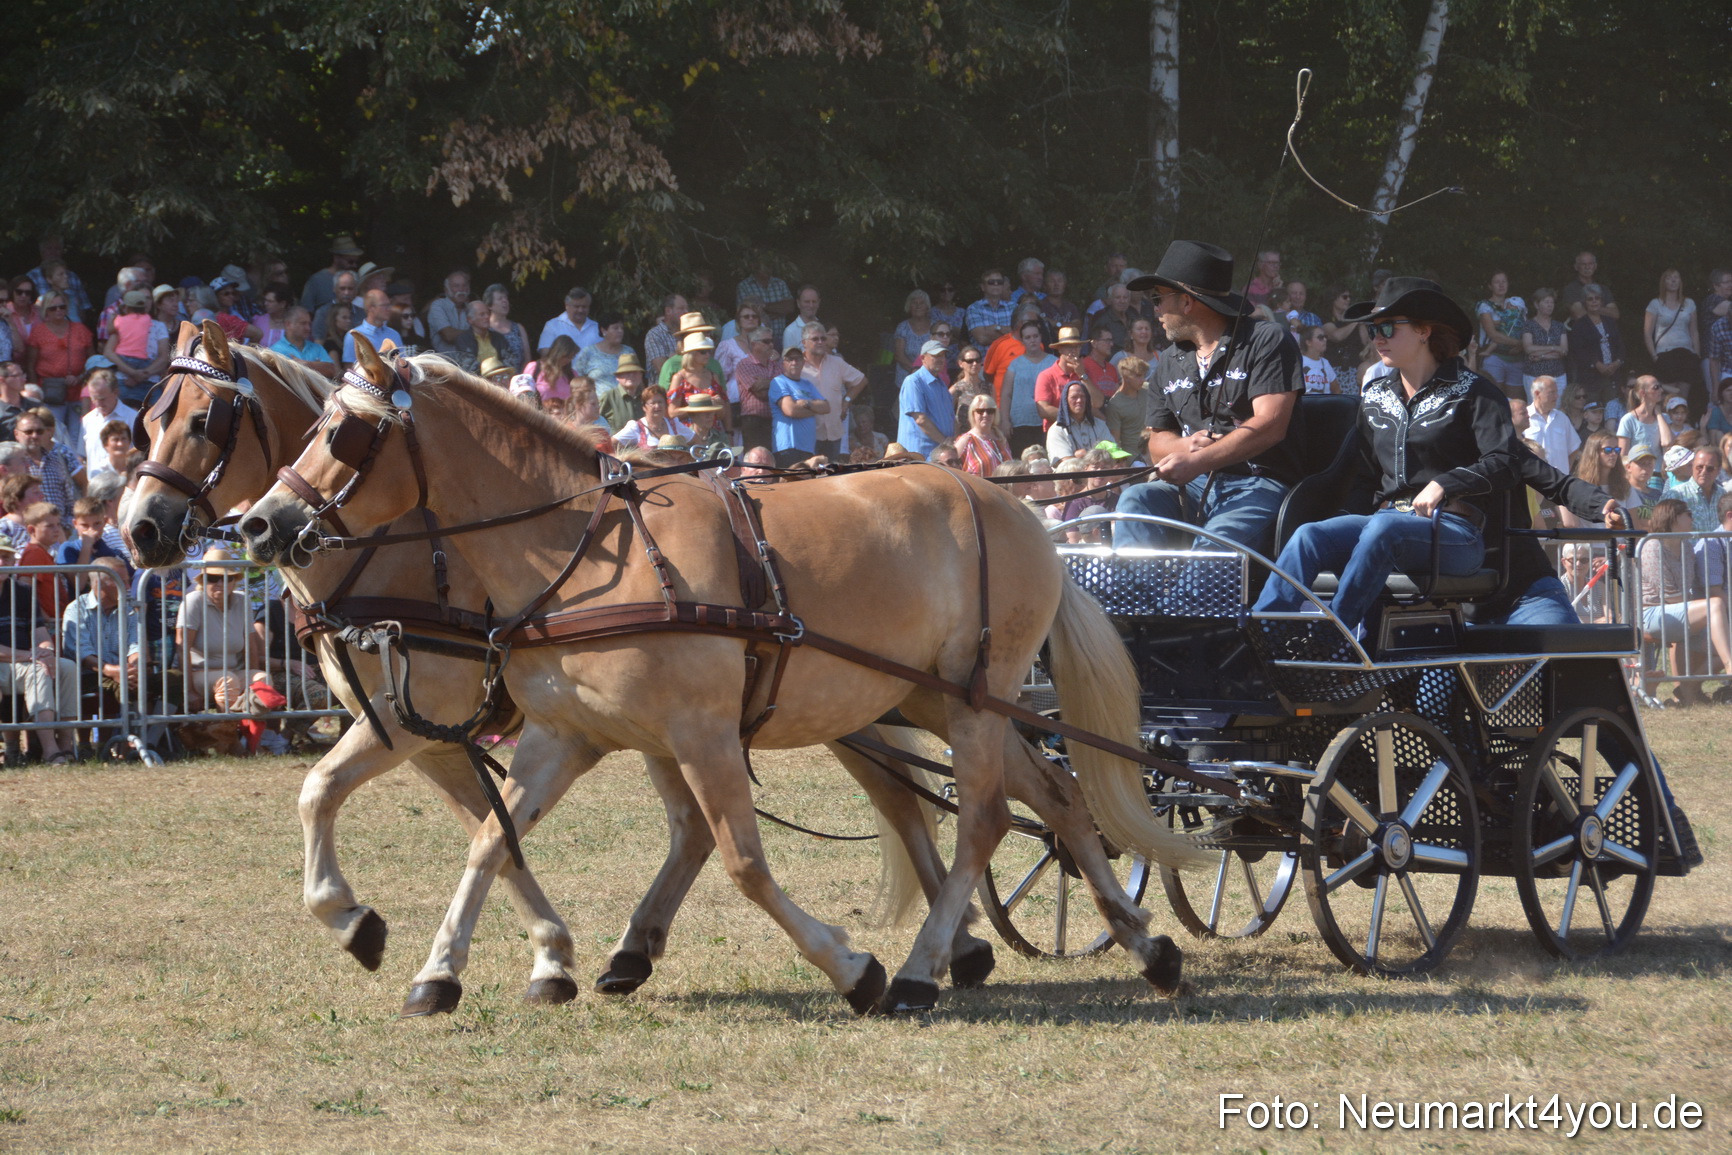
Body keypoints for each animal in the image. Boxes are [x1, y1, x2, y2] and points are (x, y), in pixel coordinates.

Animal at [122, 321, 989, 1009]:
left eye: (201, 420)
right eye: (145, 420)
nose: (139, 529)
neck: (399, 553)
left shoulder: (414, 722)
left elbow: (323, 790)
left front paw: (356, 920)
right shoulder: (436, 733)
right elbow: (491, 832)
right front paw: (541, 954)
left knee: (904, 800)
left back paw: (957, 941)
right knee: (721, 825)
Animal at [238, 333, 1208, 1014]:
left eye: (345, 433)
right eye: (316, 423)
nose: (260, 523)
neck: (585, 551)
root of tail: (1011, 504)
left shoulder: (698, 731)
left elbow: (742, 859)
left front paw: (853, 968)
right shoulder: (564, 732)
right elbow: (488, 839)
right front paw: (440, 970)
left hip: (977, 693)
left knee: (983, 820)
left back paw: (921, 969)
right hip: (934, 697)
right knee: (1050, 793)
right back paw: (1145, 947)